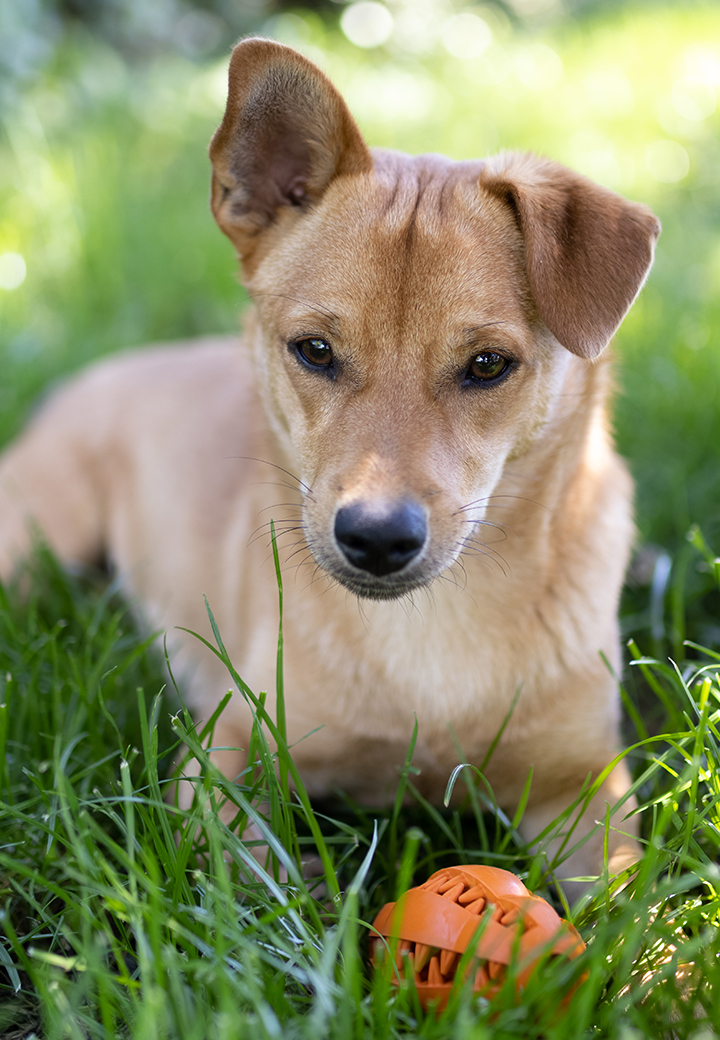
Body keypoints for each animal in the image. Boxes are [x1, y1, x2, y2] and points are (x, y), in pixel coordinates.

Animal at [0, 36, 657, 890]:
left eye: (487, 365)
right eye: (314, 350)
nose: (376, 538)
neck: (426, 640)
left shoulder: (584, 789)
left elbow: (639, 906)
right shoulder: (225, 756)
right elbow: (249, 873)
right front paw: (316, 888)